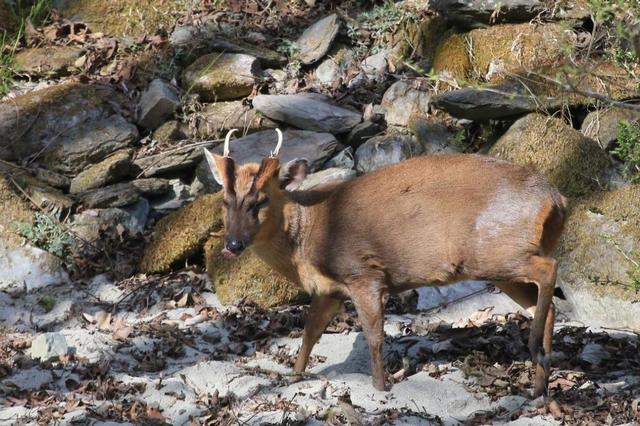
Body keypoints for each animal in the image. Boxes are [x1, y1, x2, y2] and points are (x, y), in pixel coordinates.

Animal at [204, 127, 564, 396]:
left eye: (261, 200)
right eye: (225, 201)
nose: (232, 244)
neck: (306, 237)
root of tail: (554, 198)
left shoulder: (364, 273)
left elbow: (374, 336)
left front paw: (380, 386)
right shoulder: (329, 290)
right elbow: (309, 333)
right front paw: (294, 376)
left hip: (493, 250)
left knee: (549, 270)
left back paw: (535, 350)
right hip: (500, 261)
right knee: (545, 306)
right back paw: (540, 384)